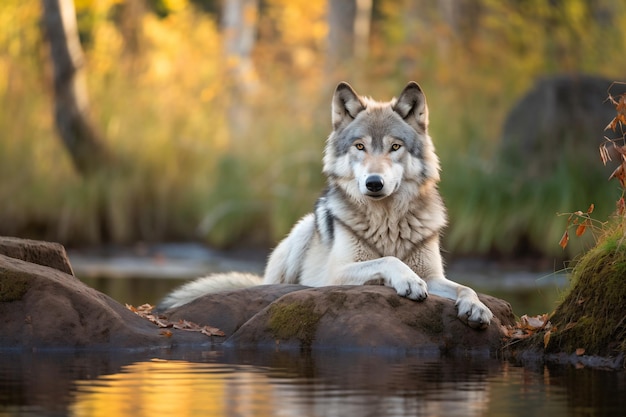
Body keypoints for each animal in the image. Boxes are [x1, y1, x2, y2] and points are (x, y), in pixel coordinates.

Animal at [157, 81, 492, 328]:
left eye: (395, 146)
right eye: (360, 146)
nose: (374, 183)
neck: (386, 223)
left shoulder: (434, 275)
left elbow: (466, 287)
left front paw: (476, 307)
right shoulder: (337, 274)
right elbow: (388, 261)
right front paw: (408, 281)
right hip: (303, 230)